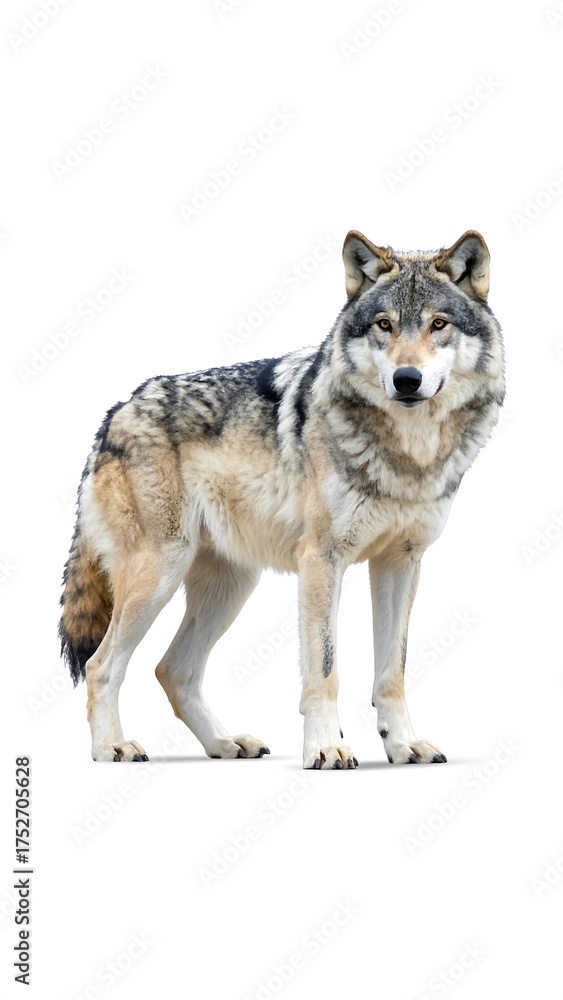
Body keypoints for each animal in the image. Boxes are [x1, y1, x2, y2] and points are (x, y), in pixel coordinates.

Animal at [59, 229, 504, 769]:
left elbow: (392, 671)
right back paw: (112, 747)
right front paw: (327, 748)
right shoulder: (321, 560)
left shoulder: (401, 562)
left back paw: (225, 743)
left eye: (438, 324)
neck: (408, 455)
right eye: (385, 325)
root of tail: (117, 411)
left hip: (230, 588)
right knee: (103, 664)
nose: (406, 379)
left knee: (173, 670)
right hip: (159, 574)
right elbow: (325, 668)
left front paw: (403, 745)